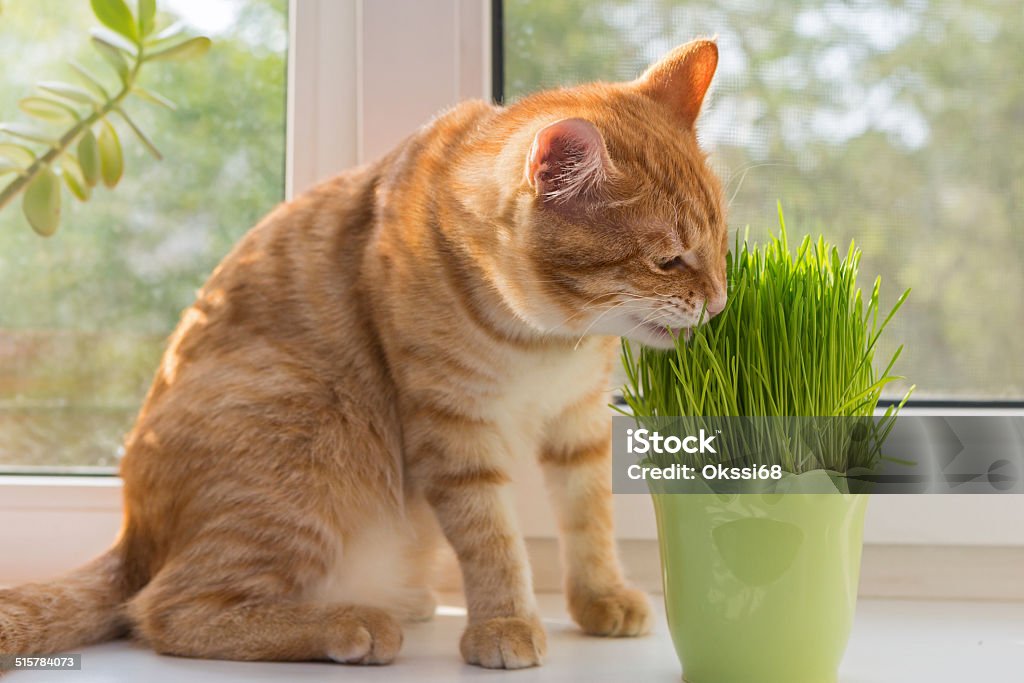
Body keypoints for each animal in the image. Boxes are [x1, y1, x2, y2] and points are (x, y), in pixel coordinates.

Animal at [4, 40, 733, 671]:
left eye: (722, 242)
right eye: (668, 261)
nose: (720, 303)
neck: (546, 341)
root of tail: (134, 534)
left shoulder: (577, 424)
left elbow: (589, 519)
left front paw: (599, 597)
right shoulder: (453, 433)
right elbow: (492, 539)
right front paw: (504, 621)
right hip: (309, 421)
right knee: (167, 610)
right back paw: (349, 623)